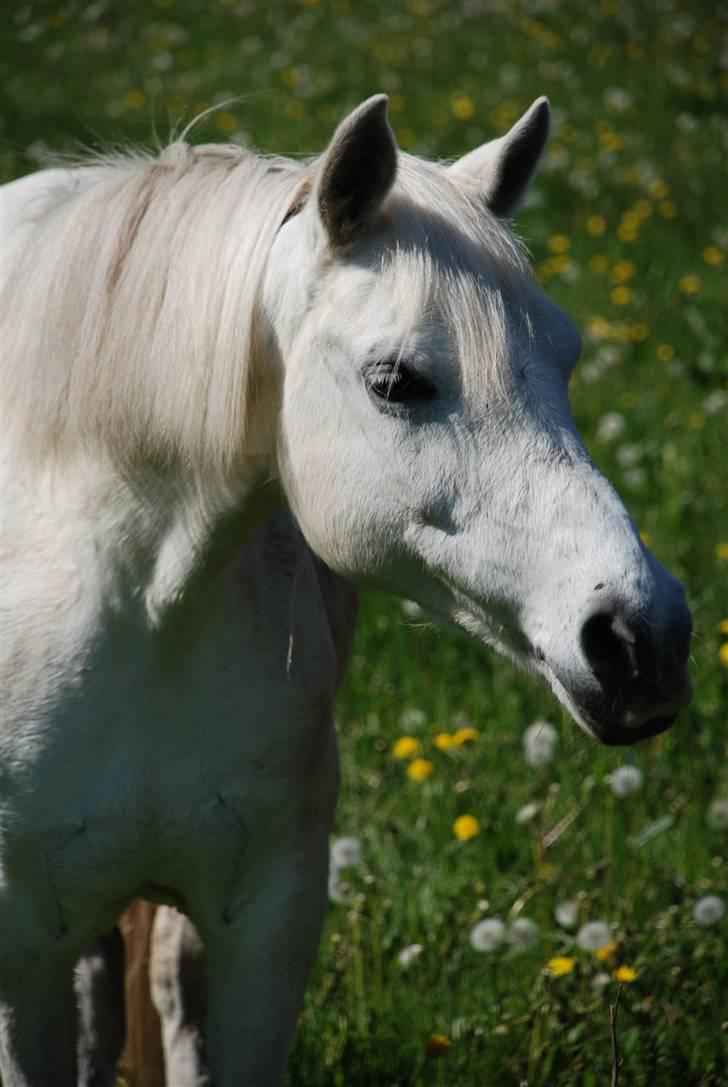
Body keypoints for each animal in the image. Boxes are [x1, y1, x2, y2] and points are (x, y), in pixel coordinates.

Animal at [1, 95, 695, 1087]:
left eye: (566, 358)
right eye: (396, 380)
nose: (645, 640)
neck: (140, 612)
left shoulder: (267, 929)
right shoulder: (23, 953)